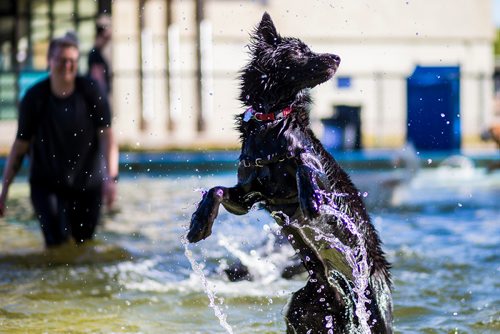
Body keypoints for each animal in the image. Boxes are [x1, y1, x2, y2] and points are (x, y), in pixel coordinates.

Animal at [186, 12, 392, 332]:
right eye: (299, 51)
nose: (337, 56)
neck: (271, 124)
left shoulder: (320, 175)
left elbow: (305, 166)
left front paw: (309, 200)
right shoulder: (248, 196)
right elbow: (216, 190)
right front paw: (199, 223)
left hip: (373, 310)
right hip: (300, 311)